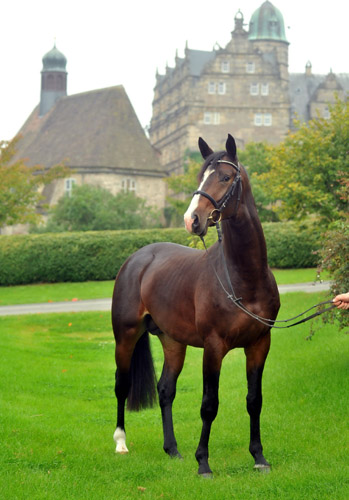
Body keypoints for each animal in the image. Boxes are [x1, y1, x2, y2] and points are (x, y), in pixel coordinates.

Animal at [111, 133, 280, 476]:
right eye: (201, 176)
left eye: (225, 177)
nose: (192, 220)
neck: (243, 278)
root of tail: (137, 259)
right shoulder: (213, 347)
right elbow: (209, 405)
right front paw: (203, 462)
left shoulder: (260, 343)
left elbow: (254, 400)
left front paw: (259, 457)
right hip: (125, 336)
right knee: (122, 385)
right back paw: (121, 443)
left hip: (173, 342)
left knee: (165, 390)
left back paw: (172, 449)